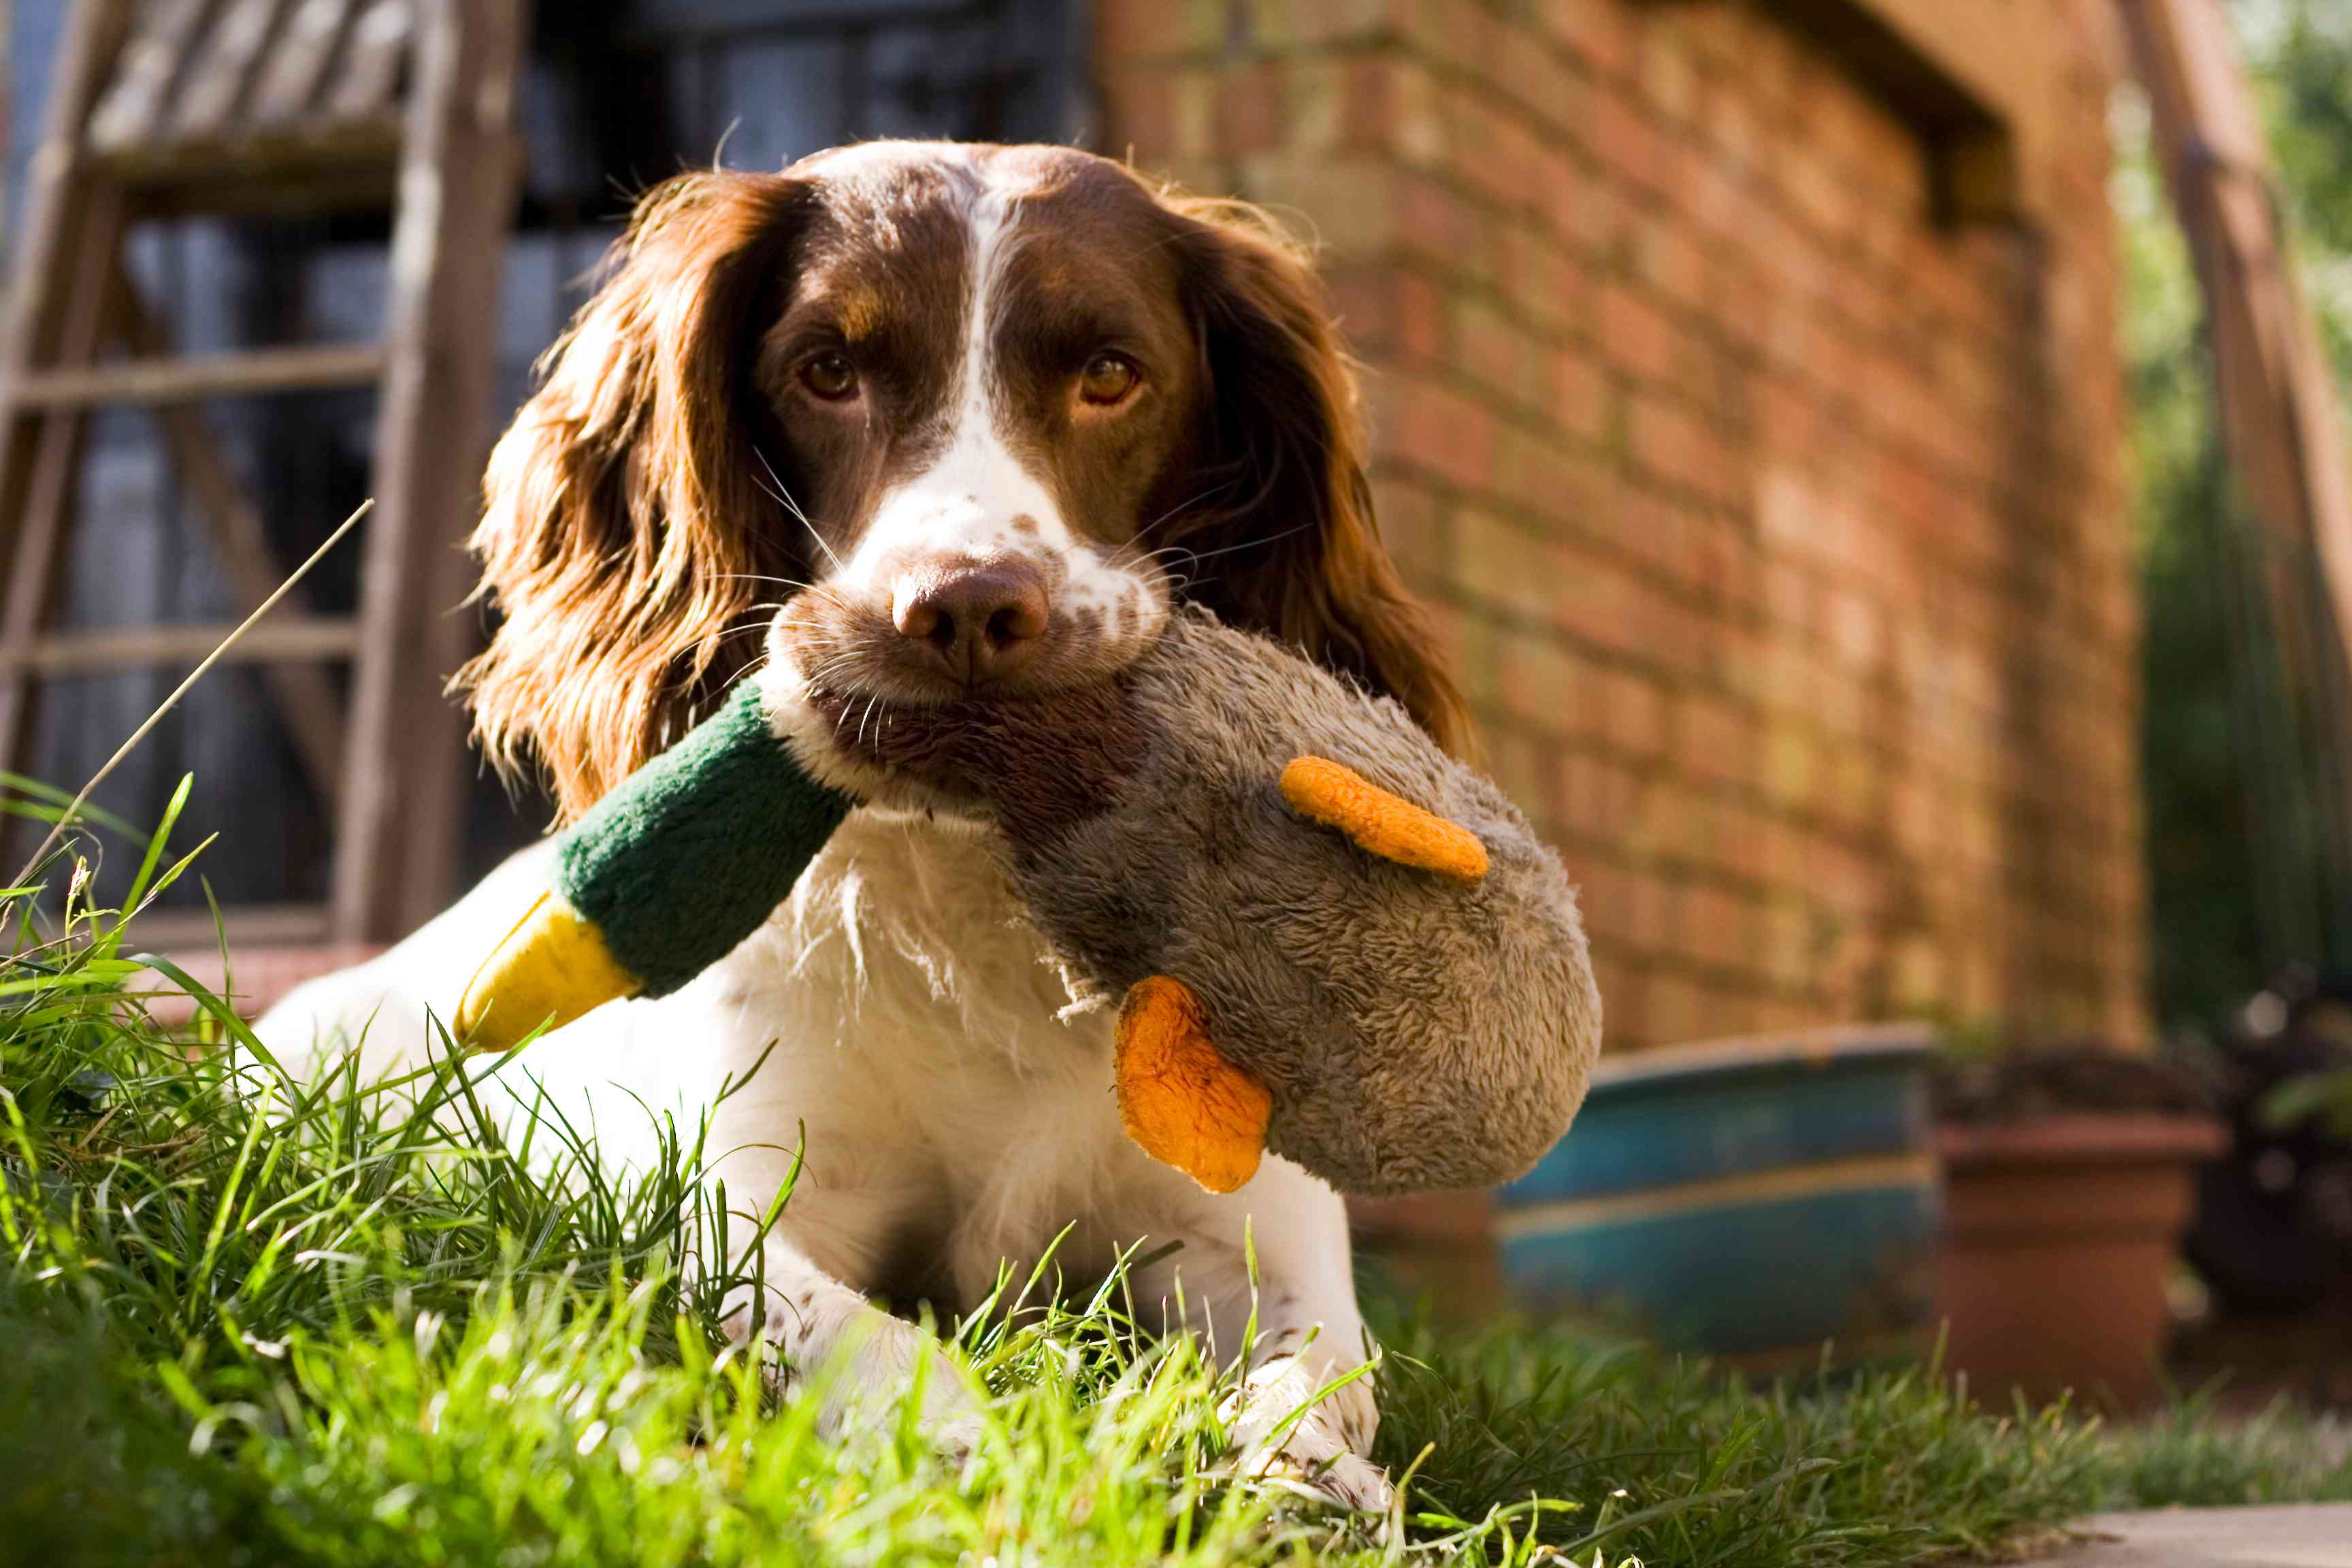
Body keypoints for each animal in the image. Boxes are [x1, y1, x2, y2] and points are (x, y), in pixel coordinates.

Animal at [262, 144, 1467, 1504]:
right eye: (828, 371)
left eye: (1111, 374)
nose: (965, 609)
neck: (973, 915)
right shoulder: (714, 1204)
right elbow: (879, 1342)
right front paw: (988, 1468)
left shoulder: (1248, 1226)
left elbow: (1315, 1370)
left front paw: (1300, 1485)